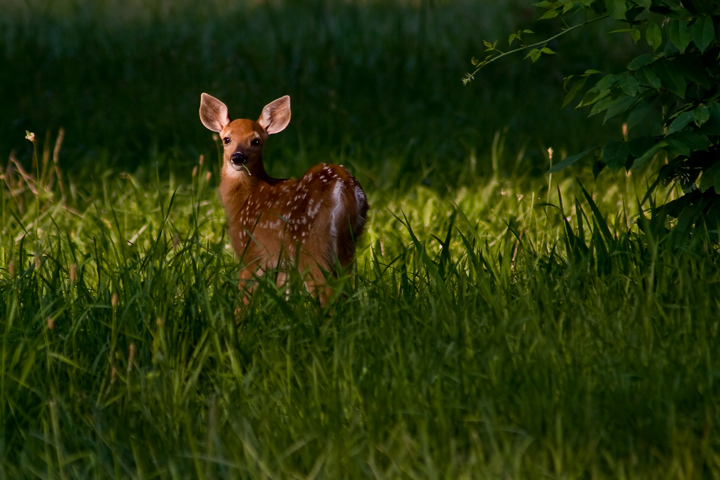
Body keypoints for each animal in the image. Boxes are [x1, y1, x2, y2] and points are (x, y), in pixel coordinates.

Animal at [199, 93, 369, 305]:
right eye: (226, 139)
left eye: (256, 141)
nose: (238, 157)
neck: (244, 200)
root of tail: (343, 186)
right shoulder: (283, 264)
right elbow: (283, 294)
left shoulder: (249, 251)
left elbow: (244, 298)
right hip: (348, 244)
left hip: (309, 244)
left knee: (326, 292)